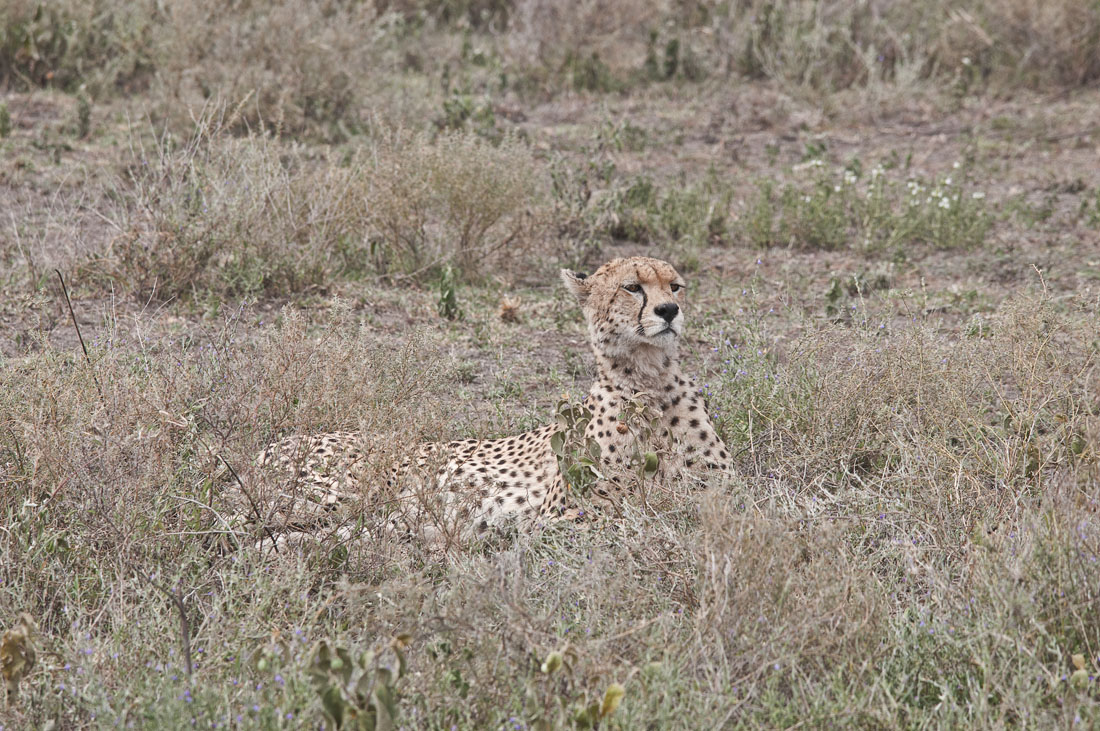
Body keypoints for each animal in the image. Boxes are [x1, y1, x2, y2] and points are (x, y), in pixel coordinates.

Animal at [249, 256, 730, 540]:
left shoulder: (721, 494)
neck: (649, 380)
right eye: (633, 287)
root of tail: (274, 444)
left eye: (675, 286)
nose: (669, 311)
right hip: (341, 494)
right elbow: (624, 516)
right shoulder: (565, 513)